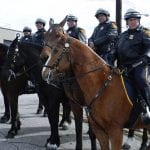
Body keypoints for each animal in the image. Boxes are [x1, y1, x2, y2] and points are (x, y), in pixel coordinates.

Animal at [41, 16, 150, 150]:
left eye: (56, 49)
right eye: (45, 35)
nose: (44, 73)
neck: (103, 85)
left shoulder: (115, 131)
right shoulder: (97, 127)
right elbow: (79, 129)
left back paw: (142, 142)